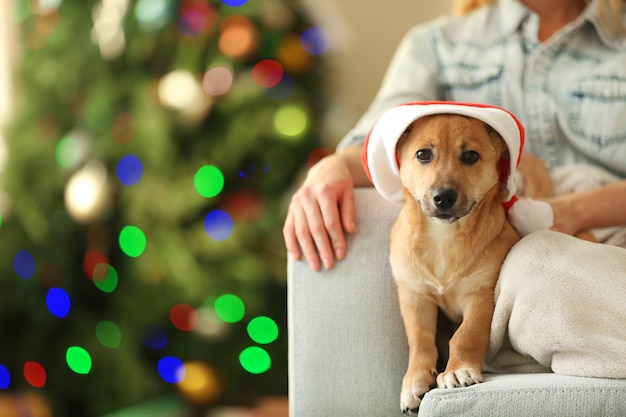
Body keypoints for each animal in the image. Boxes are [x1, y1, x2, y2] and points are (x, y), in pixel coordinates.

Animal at [390, 112, 520, 412]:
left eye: (471, 156)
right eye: (423, 154)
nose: (444, 197)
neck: (443, 237)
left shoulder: (482, 295)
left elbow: (466, 335)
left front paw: (457, 370)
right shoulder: (414, 296)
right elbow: (420, 339)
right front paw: (414, 380)